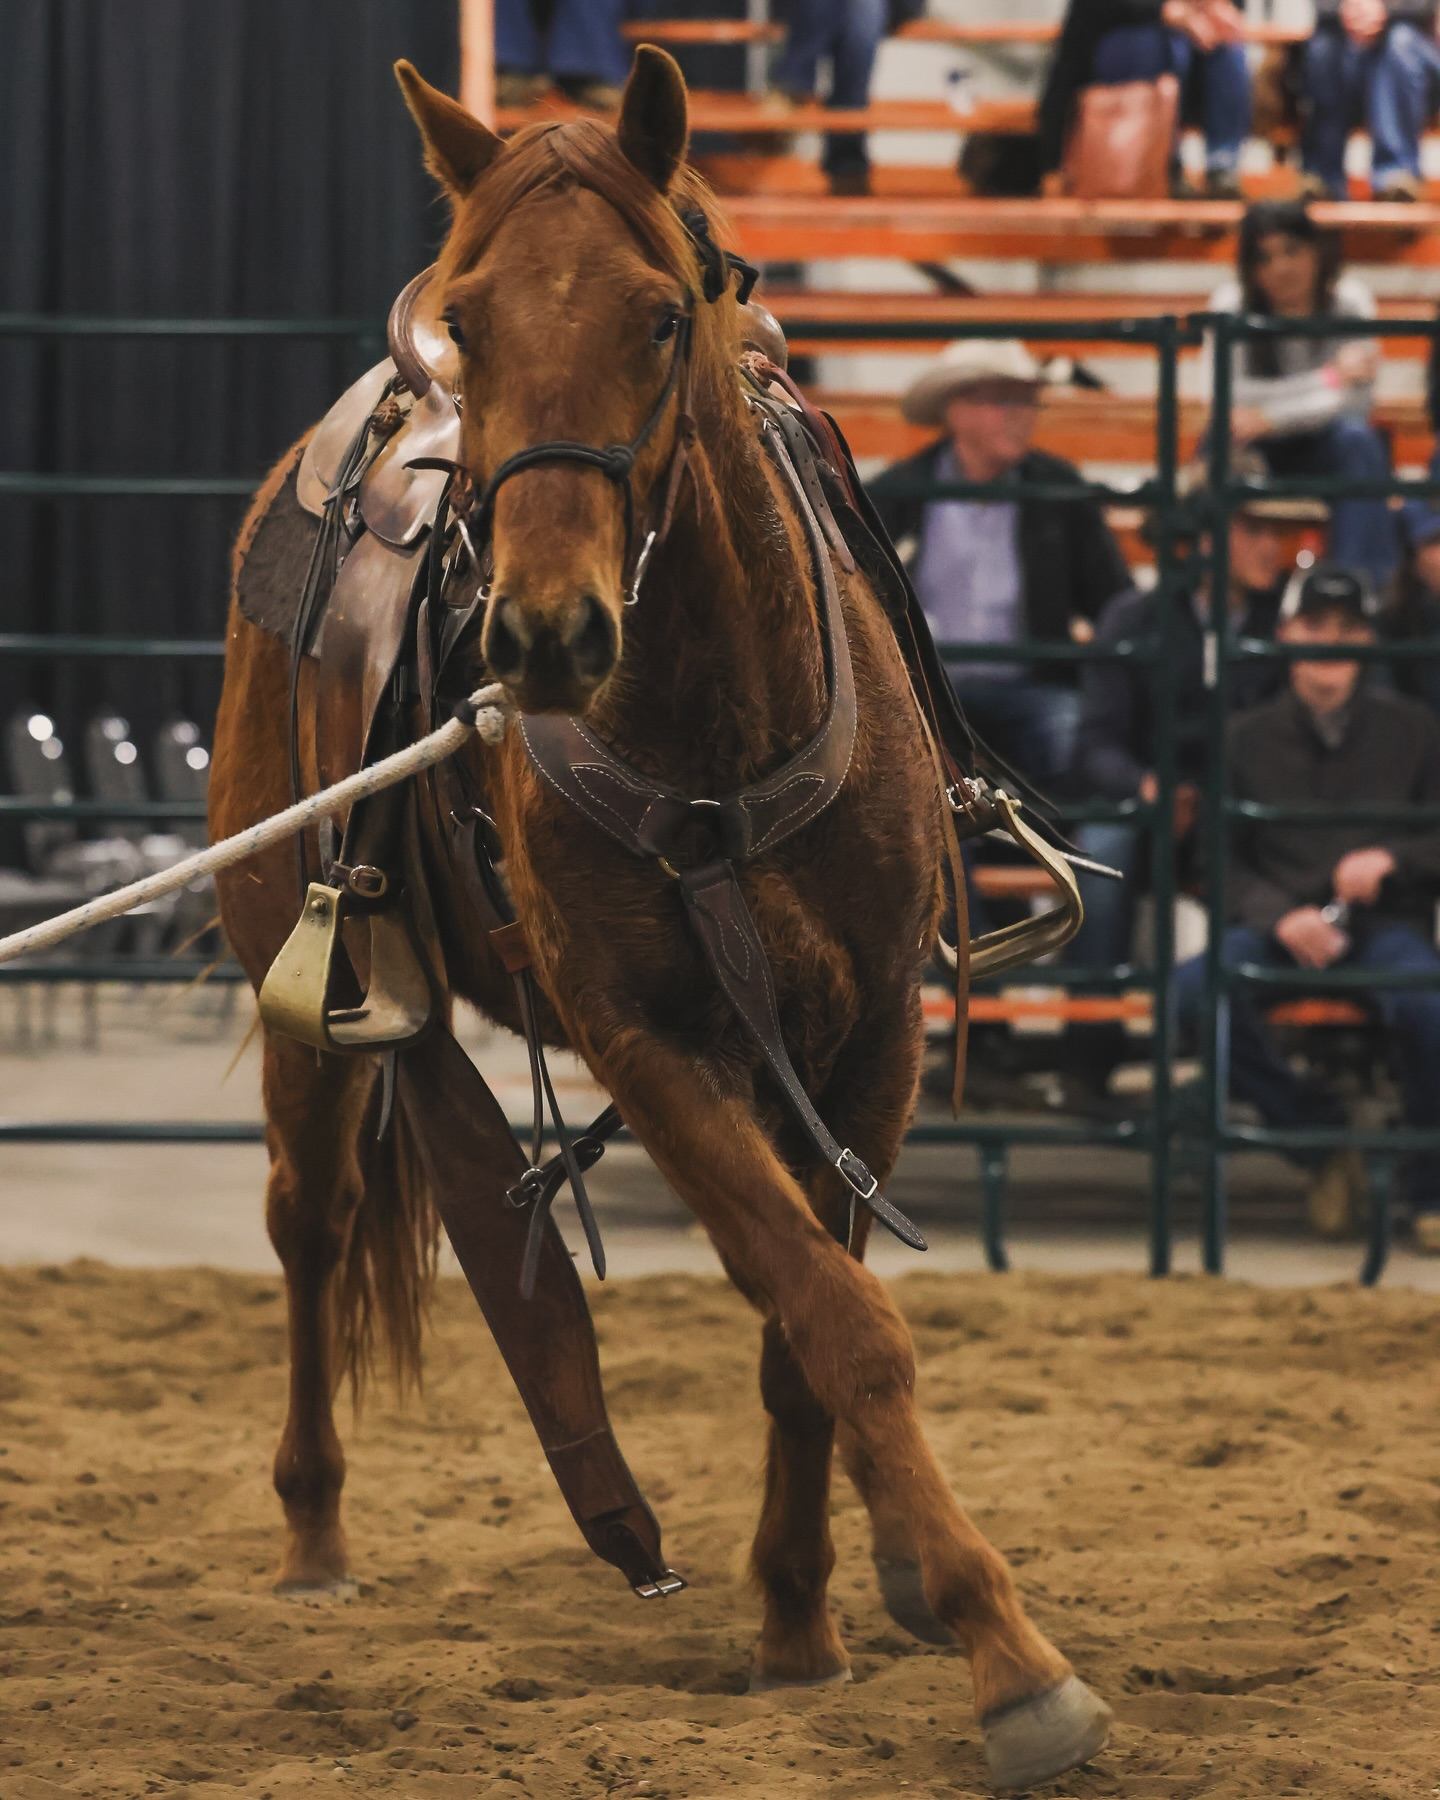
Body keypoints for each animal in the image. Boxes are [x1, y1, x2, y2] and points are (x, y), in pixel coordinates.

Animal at [208, 47, 1111, 1792]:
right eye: (477, 322)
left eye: (658, 318)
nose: (547, 635)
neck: (715, 735)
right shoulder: (651, 1046)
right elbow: (836, 1321)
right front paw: (1014, 1666)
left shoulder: (869, 1043)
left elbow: (809, 1334)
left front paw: (810, 1620)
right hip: (297, 959)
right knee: (312, 1223)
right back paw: (312, 1538)